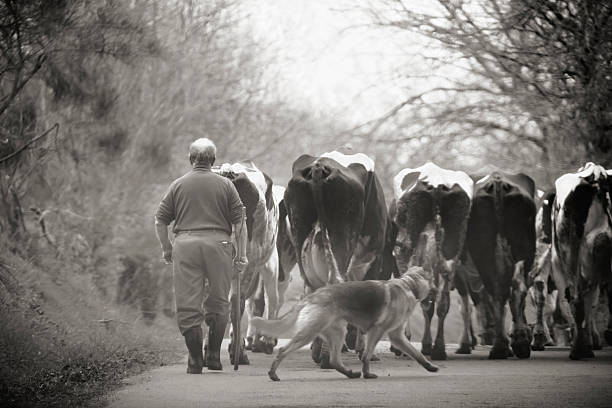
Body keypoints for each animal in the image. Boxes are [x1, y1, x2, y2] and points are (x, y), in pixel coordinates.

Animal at [251, 266, 438, 380]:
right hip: (309, 333)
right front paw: (367, 373)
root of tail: (312, 296)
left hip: (338, 333)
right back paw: (273, 373)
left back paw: (350, 373)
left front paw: (429, 366)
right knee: (283, 350)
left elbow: (416, 353)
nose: (437, 291)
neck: (408, 284)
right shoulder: (377, 331)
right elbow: (367, 355)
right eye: (433, 281)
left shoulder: (397, 336)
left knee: (334, 360)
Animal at [466, 171, 536, 356]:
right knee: (515, 288)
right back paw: (517, 342)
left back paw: (501, 346)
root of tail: (497, 181)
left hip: (482, 249)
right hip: (523, 247)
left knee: (496, 291)